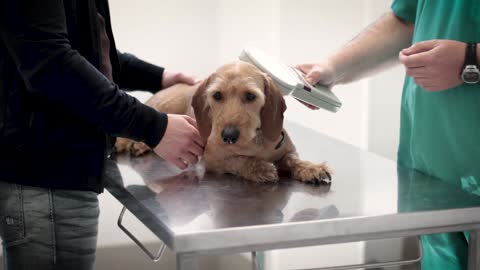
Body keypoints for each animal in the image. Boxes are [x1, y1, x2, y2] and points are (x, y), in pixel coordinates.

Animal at [115, 61, 334, 184]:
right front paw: (260, 168)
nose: (228, 136)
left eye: (250, 96)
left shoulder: (287, 150)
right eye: (217, 95)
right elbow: (239, 160)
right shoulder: (212, 159)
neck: (255, 141)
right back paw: (132, 143)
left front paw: (312, 168)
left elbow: (293, 159)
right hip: (163, 107)